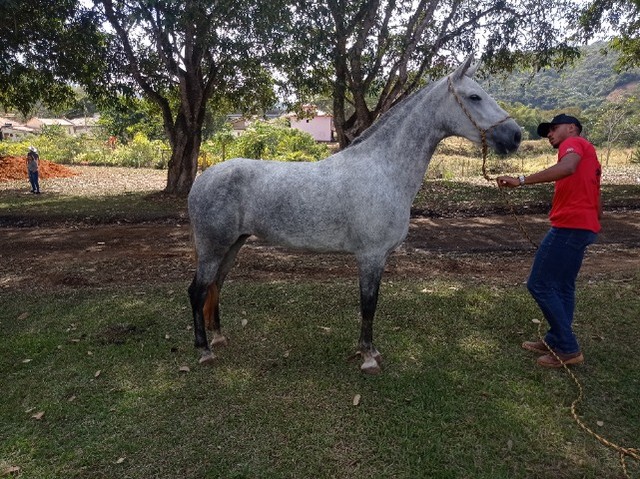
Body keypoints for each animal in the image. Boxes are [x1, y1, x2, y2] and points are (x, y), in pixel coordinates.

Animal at [186, 56, 520, 376]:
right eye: (475, 97)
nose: (515, 136)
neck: (383, 169)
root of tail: (202, 180)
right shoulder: (370, 255)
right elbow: (368, 305)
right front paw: (368, 357)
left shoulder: (379, 257)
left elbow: (371, 305)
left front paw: (368, 351)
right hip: (213, 248)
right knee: (197, 291)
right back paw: (204, 351)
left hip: (233, 245)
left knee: (216, 286)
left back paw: (219, 337)